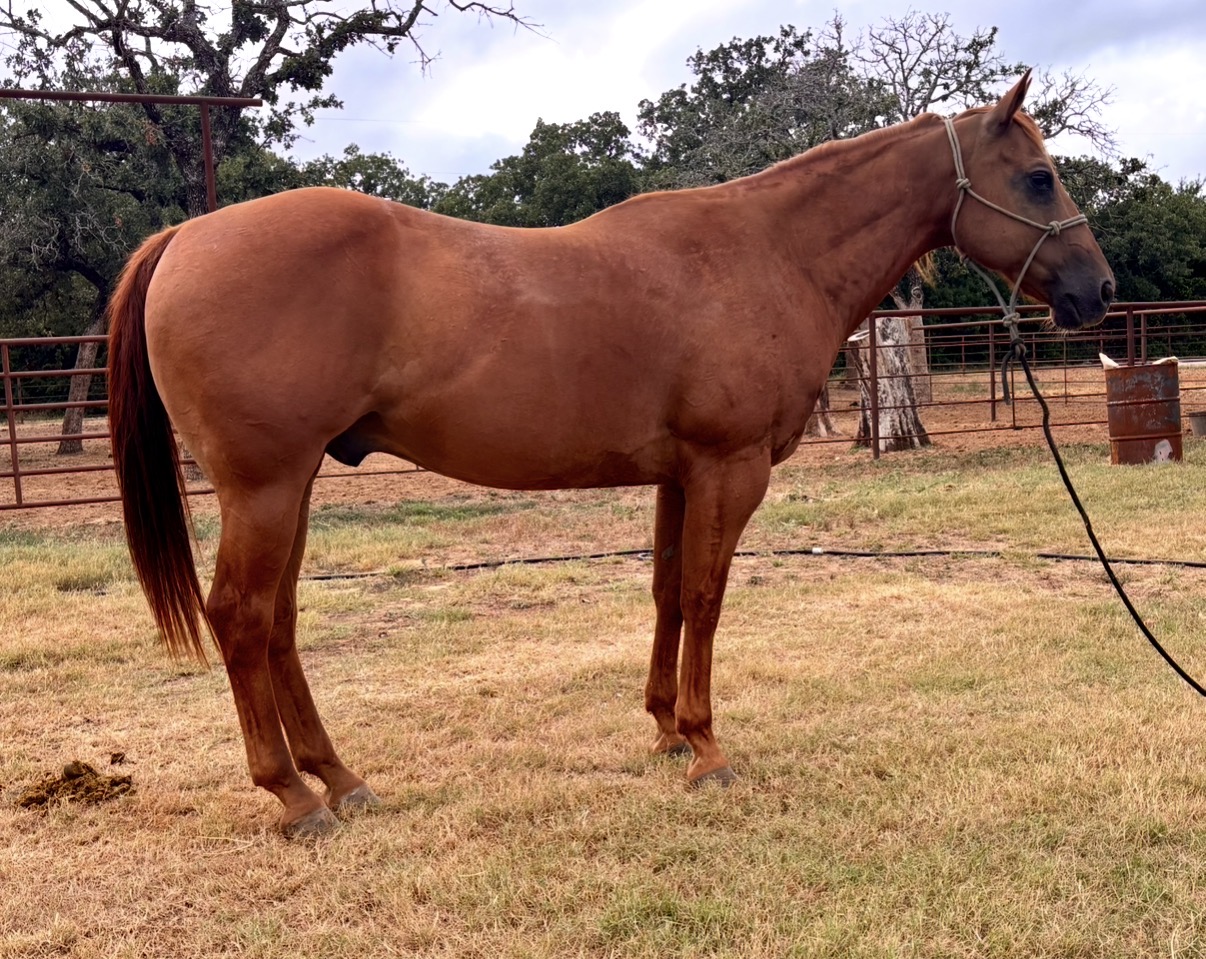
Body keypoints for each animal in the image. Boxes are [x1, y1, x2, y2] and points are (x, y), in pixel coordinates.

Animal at [107, 71, 1113, 837]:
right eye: (1038, 178)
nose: (1098, 291)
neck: (765, 252)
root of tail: (186, 236)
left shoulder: (680, 473)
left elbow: (668, 591)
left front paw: (665, 729)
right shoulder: (729, 467)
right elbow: (706, 597)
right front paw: (706, 747)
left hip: (298, 483)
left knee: (277, 620)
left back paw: (341, 778)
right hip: (266, 485)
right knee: (241, 617)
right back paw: (292, 796)